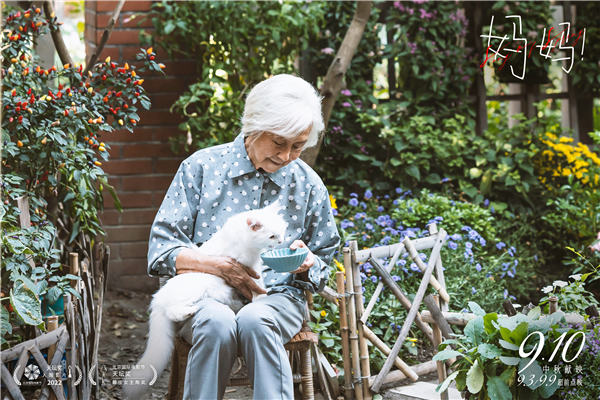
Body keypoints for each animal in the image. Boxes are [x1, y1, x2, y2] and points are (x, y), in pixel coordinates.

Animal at [122, 203, 286, 400]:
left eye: (282, 231)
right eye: (272, 236)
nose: (281, 241)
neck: (244, 239)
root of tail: (158, 299)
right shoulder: (248, 267)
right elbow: (258, 286)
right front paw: (261, 297)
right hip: (197, 291)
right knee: (173, 311)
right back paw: (189, 310)